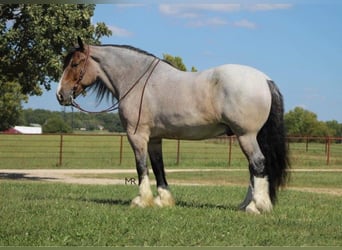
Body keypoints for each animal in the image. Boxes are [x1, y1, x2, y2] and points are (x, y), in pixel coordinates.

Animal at [58, 37, 288, 215]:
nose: (61, 95)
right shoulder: (154, 138)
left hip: (246, 135)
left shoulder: (137, 135)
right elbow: (158, 166)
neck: (136, 80)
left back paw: (256, 206)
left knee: (257, 164)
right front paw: (163, 200)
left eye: (75, 64)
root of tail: (264, 80)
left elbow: (141, 166)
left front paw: (142, 200)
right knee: (253, 168)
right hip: (250, 137)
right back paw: (245, 204)